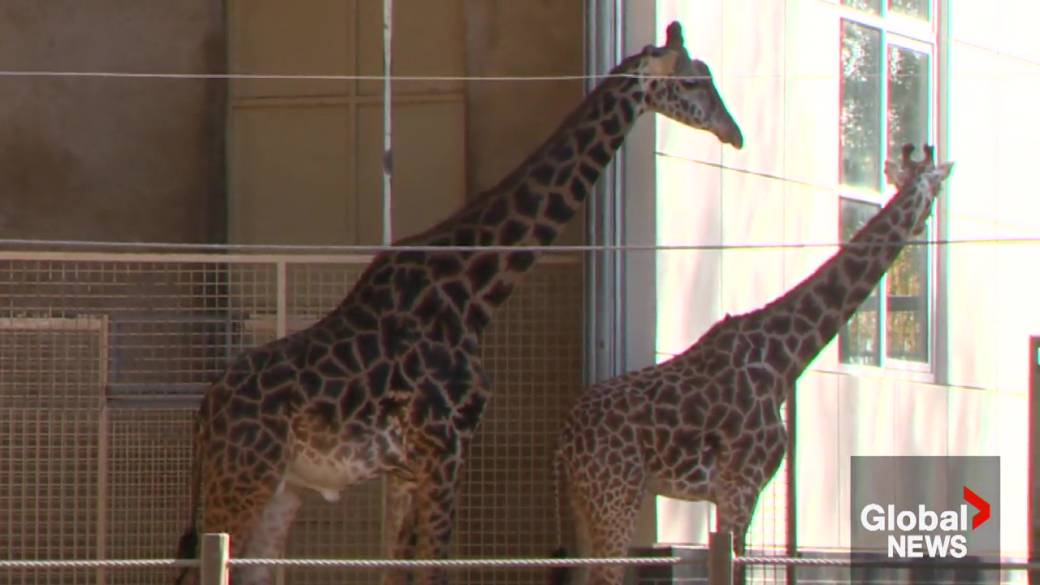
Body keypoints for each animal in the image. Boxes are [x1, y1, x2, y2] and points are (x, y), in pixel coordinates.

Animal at [174, 21, 743, 585]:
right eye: (693, 82)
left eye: (710, 75)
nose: (733, 133)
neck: (472, 295)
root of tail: (204, 414)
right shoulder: (445, 446)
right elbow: (437, 568)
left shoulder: (408, 468)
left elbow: (399, 570)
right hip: (243, 477)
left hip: (280, 488)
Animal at [551, 144, 953, 585]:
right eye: (934, 191)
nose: (925, 225)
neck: (784, 358)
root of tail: (564, 441)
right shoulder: (741, 485)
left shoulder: (733, 492)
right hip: (615, 496)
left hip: (584, 501)